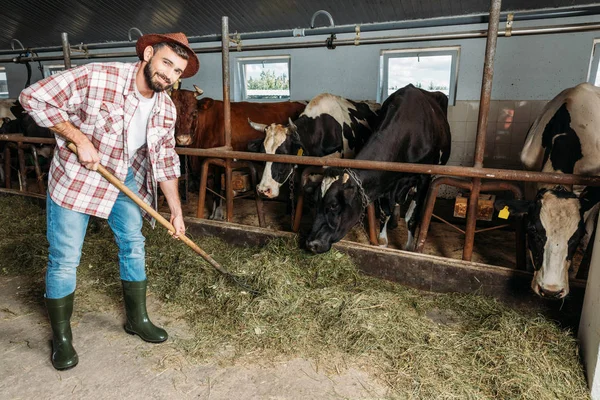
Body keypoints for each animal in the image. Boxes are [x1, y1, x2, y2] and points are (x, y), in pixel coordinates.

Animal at [171, 86, 308, 219]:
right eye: (173, 112)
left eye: (194, 112)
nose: (183, 139)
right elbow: (210, 186)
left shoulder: (219, 161)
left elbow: (217, 187)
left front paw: (218, 214)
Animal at [304, 84, 450, 255]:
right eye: (315, 201)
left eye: (333, 205)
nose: (311, 243)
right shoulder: (385, 178)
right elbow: (384, 212)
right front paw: (382, 241)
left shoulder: (423, 178)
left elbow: (411, 217)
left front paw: (409, 247)